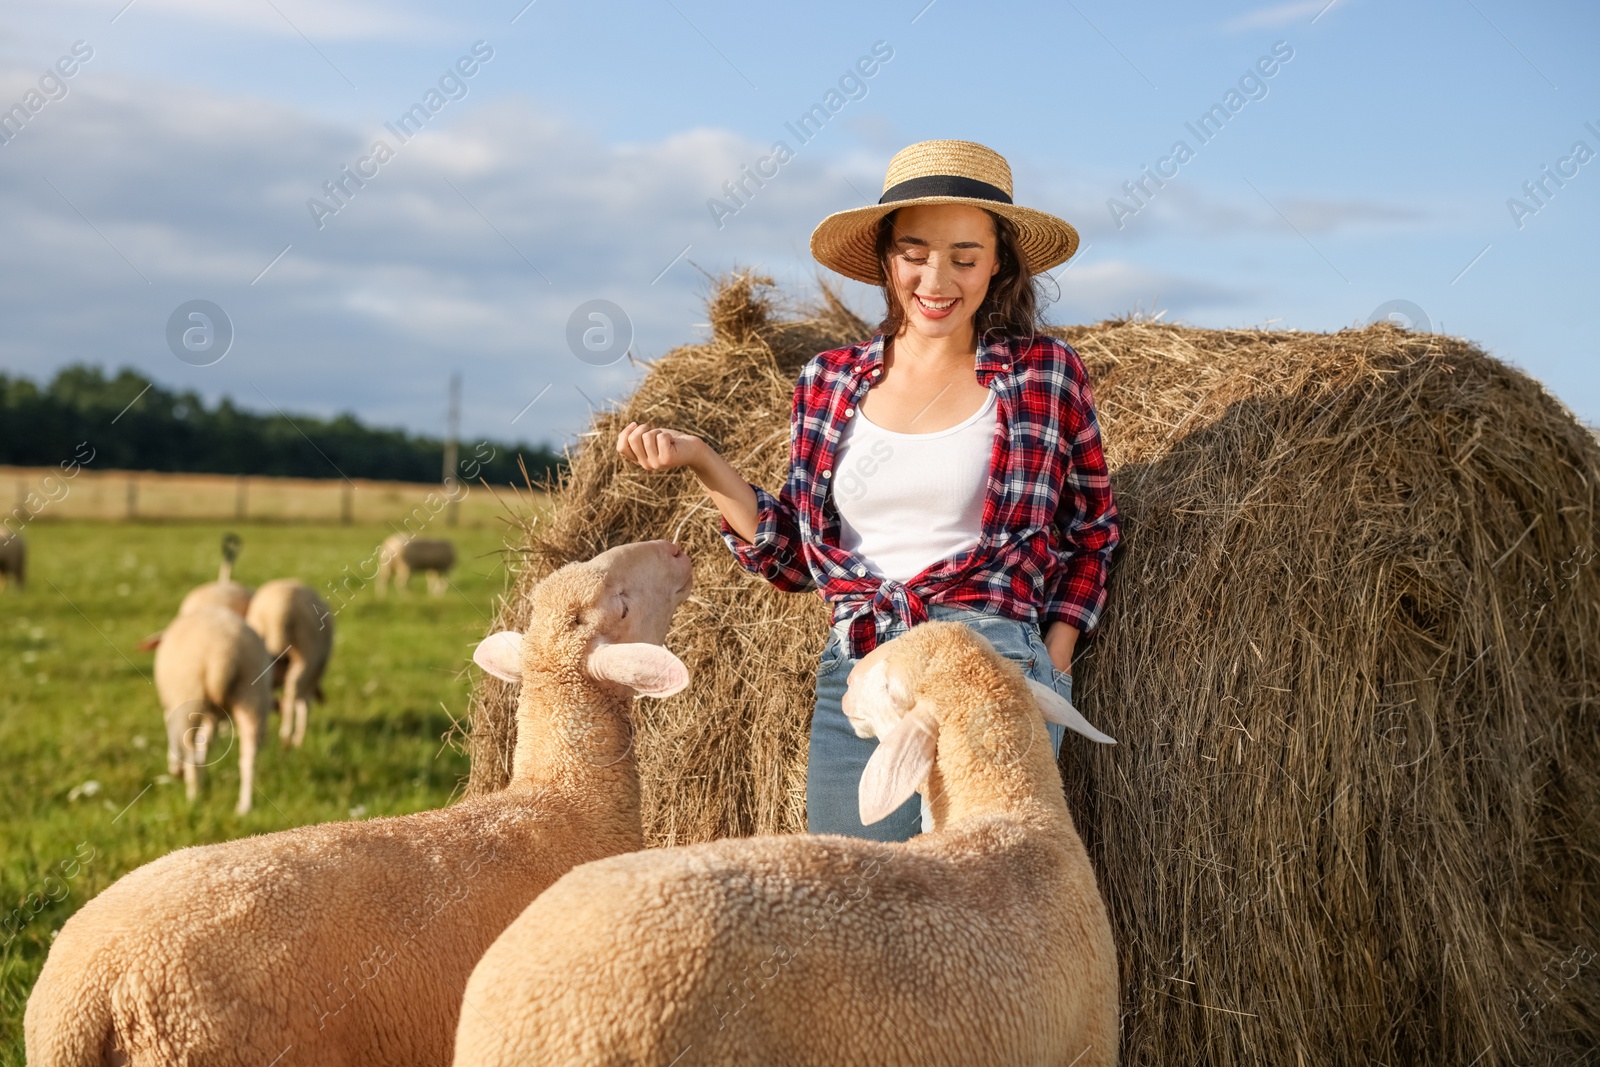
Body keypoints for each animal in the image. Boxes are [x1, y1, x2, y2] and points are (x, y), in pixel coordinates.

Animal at [151, 601, 273, 819]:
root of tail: (223, 653)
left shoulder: (176, 707)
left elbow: (173, 731)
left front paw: (176, 768)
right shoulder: (214, 714)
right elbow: (207, 741)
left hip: (189, 695)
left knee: (189, 748)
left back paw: (193, 795)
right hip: (253, 697)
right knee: (249, 756)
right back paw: (244, 805)